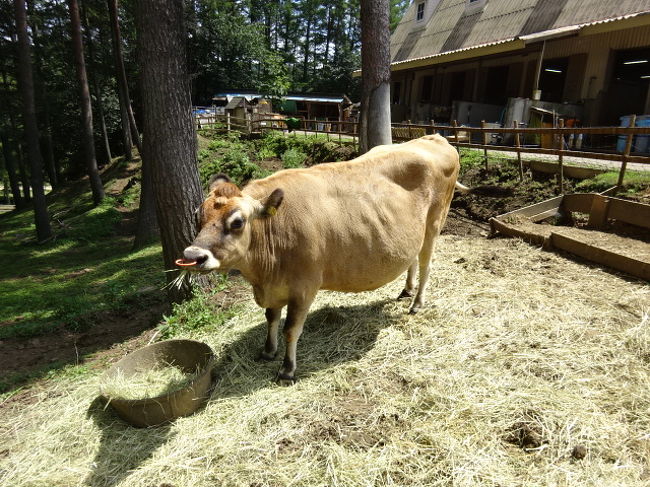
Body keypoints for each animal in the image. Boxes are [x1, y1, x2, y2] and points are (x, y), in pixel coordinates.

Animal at [180, 135, 458, 384]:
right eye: (197, 216)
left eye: (237, 222)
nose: (192, 256)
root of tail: (434, 138)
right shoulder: (275, 286)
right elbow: (271, 318)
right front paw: (268, 351)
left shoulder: (304, 287)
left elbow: (291, 329)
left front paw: (287, 370)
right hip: (414, 235)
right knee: (412, 260)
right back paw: (407, 290)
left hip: (434, 223)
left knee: (426, 264)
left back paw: (417, 303)